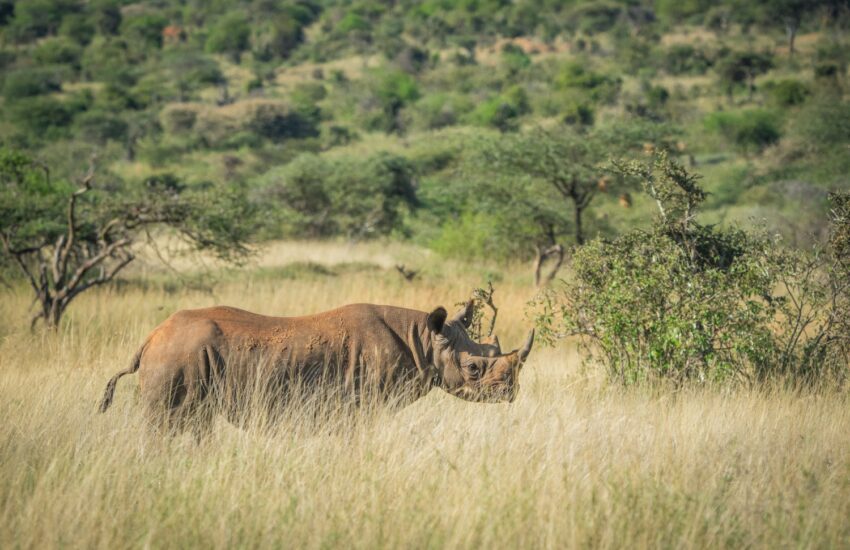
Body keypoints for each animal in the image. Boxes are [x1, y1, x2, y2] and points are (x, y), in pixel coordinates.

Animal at [98, 301, 534, 434]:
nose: (511, 392)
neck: (424, 341)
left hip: (179, 355)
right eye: (475, 368)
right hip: (177, 356)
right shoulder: (360, 404)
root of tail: (150, 339)